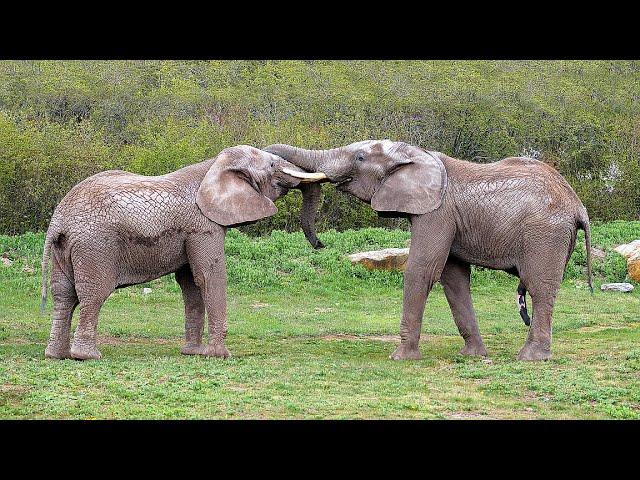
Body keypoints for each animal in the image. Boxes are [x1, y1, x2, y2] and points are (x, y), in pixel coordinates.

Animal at [41, 145, 324, 360]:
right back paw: (87, 357)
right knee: (93, 294)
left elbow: (191, 284)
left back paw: (57, 356)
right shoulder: (203, 226)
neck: (213, 165)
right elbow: (209, 276)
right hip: (95, 246)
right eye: (273, 165)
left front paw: (194, 353)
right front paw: (220, 355)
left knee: (63, 294)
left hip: (65, 249)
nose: (320, 245)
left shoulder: (192, 231)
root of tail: (58, 221)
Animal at [264, 139, 592, 360]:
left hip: (544, 234)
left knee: (540, 287)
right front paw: (471, 356)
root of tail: (578, 206)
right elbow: (454, 279)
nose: (321, 243)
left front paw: (400, 357)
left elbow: (422, 270)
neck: (418, 154)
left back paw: (530, 358)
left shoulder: (437, 213)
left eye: (359, 157)